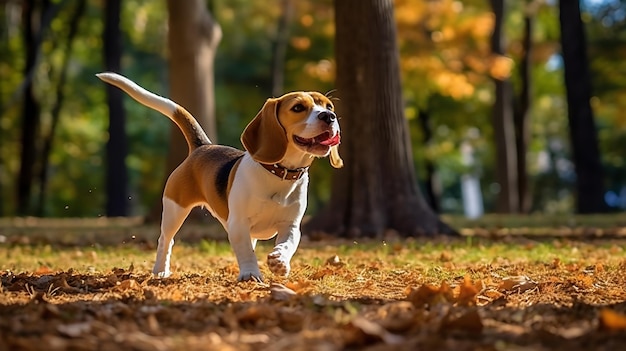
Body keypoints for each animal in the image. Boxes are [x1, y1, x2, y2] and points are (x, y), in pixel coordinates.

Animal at [96, 73, 342, 282]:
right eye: (298, 107)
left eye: (329, 106)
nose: (329, 116)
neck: (279, 174)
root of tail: (202, 146)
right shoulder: (239, 222)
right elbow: (246, 251)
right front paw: (250, 274)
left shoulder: (290, 225)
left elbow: (287, 244)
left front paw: (279, 261)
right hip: (174, 210)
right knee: (166, 240)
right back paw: (160, 271)